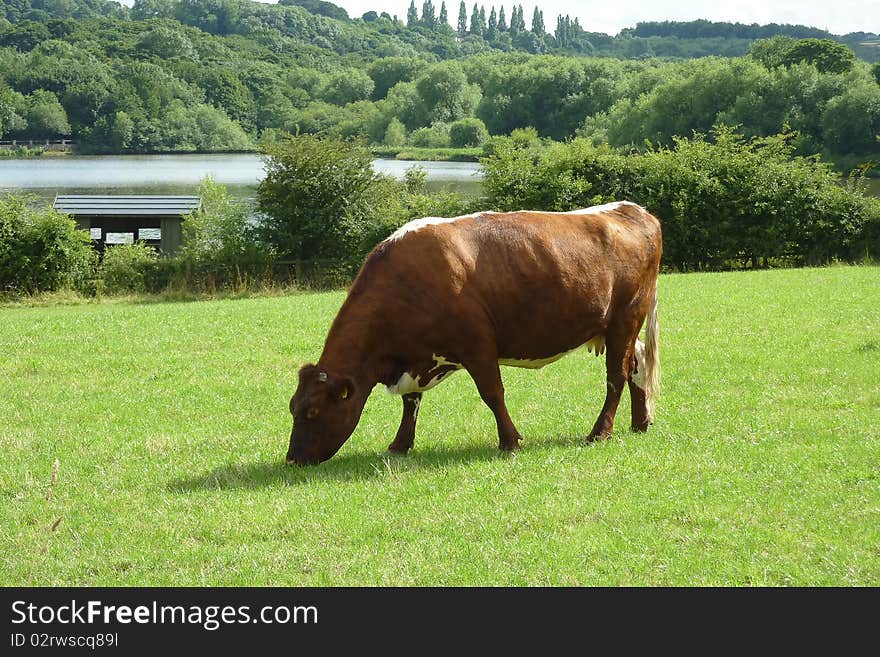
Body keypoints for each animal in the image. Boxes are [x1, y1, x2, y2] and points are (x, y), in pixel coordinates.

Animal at [288, 202, 660, 464]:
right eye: (293, 407)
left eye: (312, 412)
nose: (292, 460)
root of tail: (634, 210)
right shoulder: (418, 357)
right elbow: (411, 402)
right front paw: (400, 445)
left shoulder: (477, 345)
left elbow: (492, 393)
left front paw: (510, 441)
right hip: (622, 328)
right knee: (636, 364)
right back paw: (640, 422)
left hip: (625, 318)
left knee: (615, 376)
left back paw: (600, 432)